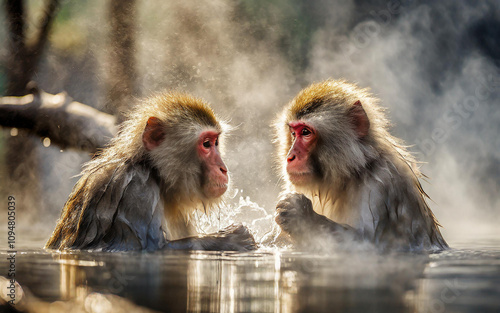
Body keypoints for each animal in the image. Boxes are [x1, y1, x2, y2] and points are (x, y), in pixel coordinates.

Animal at [45, 91, 256, 250]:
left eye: (216, 142)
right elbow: (146, 249)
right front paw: (230, 239)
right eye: (206, 144)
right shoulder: (138, 188)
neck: (154, 171)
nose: (223, 169)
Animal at [274, 80, 450, 251]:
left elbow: (369, 244)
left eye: (305, 132)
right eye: (293, 133)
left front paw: (301, 215)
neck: (352, 173)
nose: (290, 157)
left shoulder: (382, 183)